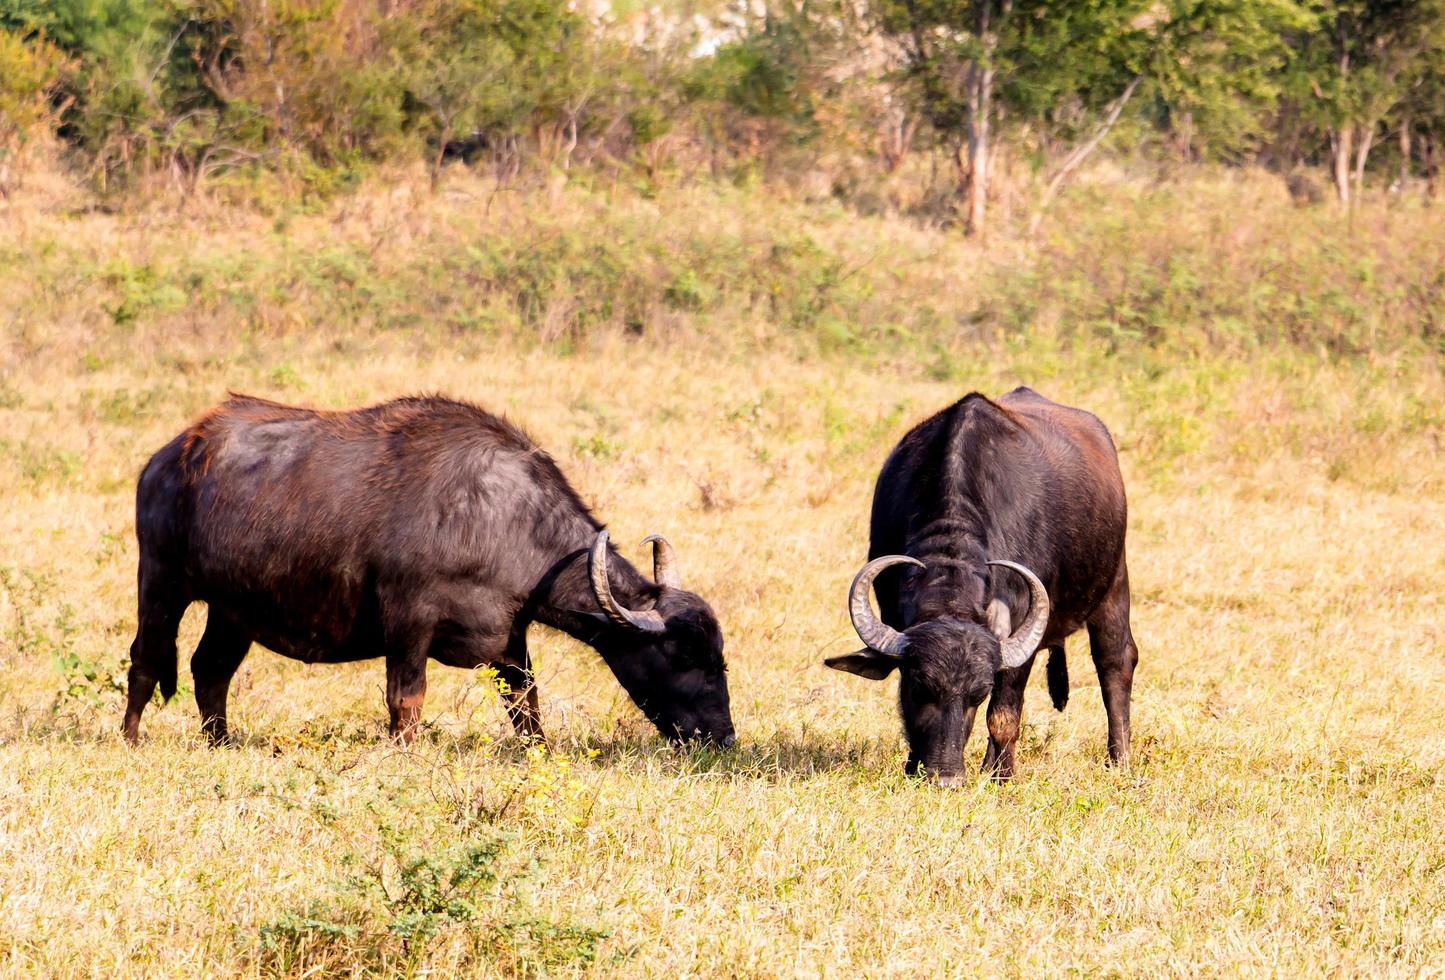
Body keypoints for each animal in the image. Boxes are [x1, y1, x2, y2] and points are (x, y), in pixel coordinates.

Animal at [124, 396, 734, 745]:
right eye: (680, 655)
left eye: (719, 659)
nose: (723, 737)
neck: (499, 521)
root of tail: (169, 457)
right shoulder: (408, 621)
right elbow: (406, 701)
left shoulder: (509, 636)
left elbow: (527, 707)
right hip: (161, 582)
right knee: (147, 660)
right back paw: (132, 738)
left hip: (233, 609)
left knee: (210, 669)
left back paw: (221, 743)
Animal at [832, 387, 1132, 786]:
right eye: (919, 686)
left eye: (978, 694)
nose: (947, 777)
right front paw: (915, 766)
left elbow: (1002, 716)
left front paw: (1002, 777)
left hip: (1115, 585)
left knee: (1115, 663)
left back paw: (1120, 760)